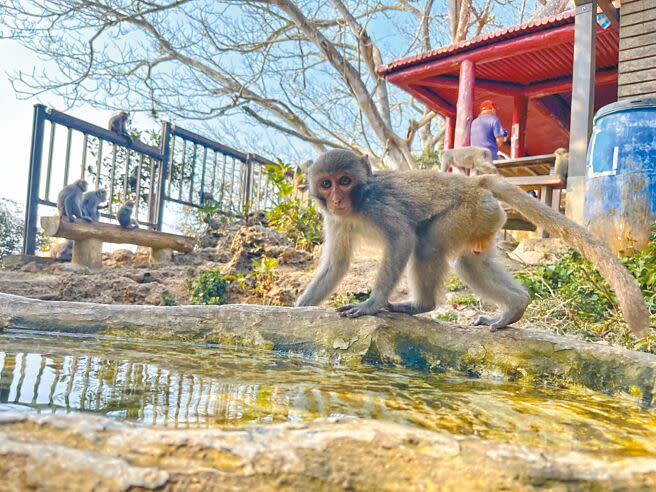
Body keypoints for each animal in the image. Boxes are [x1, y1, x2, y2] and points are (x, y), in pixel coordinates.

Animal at [298, 148, 652, 336]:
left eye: (345, 181)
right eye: (326, 184)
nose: (337, 199)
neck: (357, 206)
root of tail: (475, 182)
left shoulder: (376, 205)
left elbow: (401, 239)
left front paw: (370, 305)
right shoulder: (335, 220)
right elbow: (336, 265)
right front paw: (300, 308)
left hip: (466, 211)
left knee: (427, 244)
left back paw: (421, 305)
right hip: (485, 218)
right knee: (471, 262)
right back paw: (516, 306)